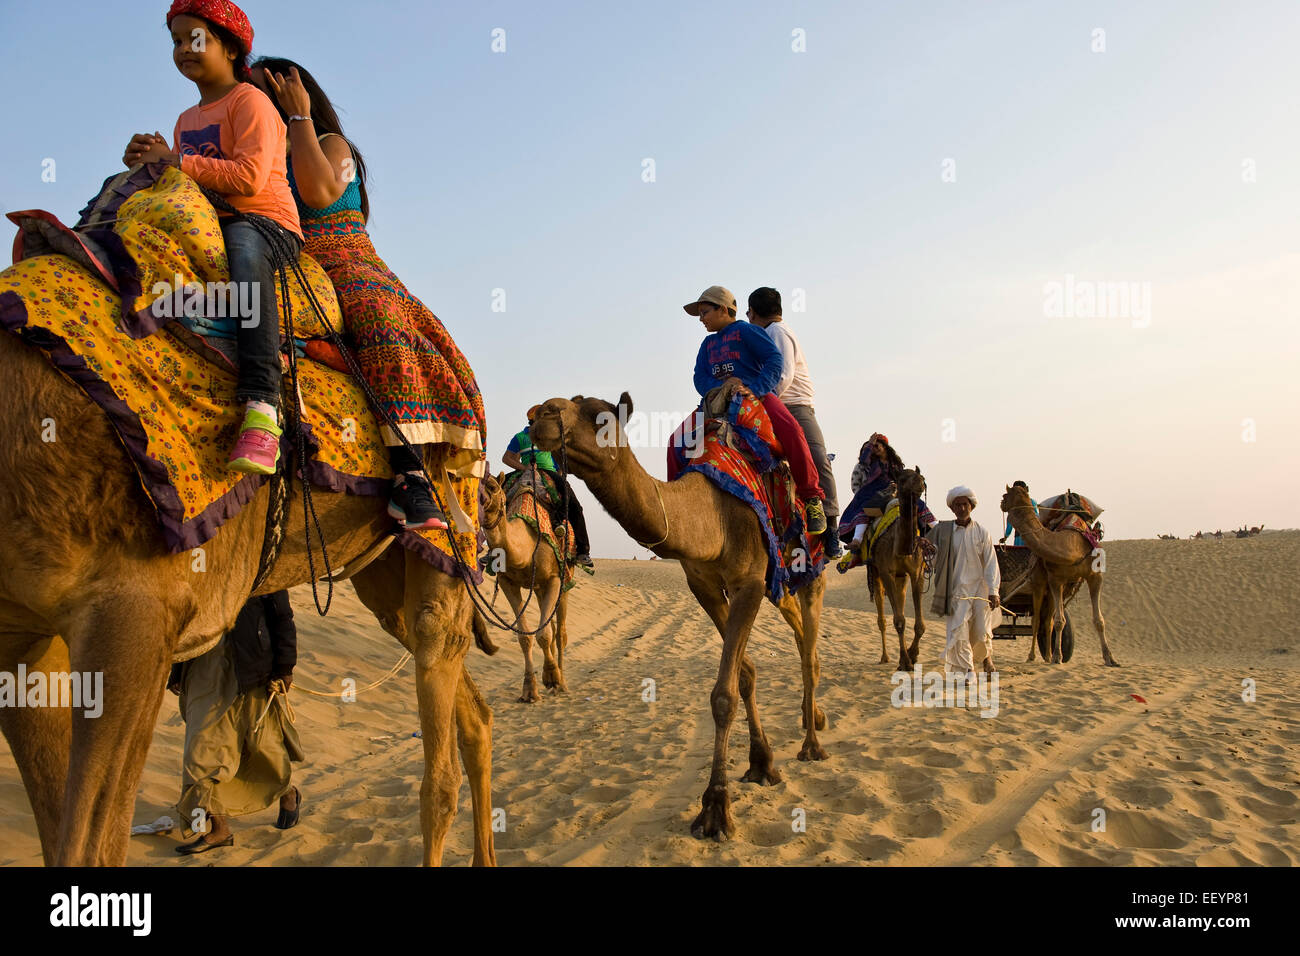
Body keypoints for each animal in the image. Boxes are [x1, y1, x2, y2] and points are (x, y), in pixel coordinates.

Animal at [0, 329, 498, 866]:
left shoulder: (135, 607)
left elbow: (92, 845)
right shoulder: (22, 637)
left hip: (450, 520)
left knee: (440, 741)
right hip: (388, 564)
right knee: (467, 705)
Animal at [480, 472, 573, 702]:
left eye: (493, 487)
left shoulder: (554, 578)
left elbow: (544, 634)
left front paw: (552, 677)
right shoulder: (507, 582)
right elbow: (525, 637)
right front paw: (530, 690)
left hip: (565, 580)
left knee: (560, 633)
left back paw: (562, 684)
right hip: (538, 589)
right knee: (552, 628)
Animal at [530, 392, 827, 842]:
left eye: (600, 417)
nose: (541, 412)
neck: (712, 516)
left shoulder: (749, 583)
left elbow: (723, 695)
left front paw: (716, 809)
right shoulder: (704, 585)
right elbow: (745, 675)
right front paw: (761, 763)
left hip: (811, 570)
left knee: (809, 653)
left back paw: (811, 744)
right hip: (781, 582)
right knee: (798, 634)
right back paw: (813, 721)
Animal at [865, 468, 928, 669]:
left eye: (921, 476)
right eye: (902, 479)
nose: (920, 483)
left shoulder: (917, 573)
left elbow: (919, 624)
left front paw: (912, 654)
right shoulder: (887, 572)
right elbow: (899, 621)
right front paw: (905, 661)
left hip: (902, 578)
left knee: (900, 602)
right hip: (876, 572)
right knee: (883, 618)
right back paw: (885, 657)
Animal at [1000, 485, 1118, 667]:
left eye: (1005, 495)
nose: (1001, 503)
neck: (1072, 545)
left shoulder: (1095, 576)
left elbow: (1099, 620)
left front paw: (1109, 658)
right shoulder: (1055, 579)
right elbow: (1059, 621)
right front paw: (1057, 657)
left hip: (1056, 591)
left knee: (1045, 622)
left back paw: (1047, 655)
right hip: (1038, 582)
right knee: (1037, 622)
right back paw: (1033, 656)